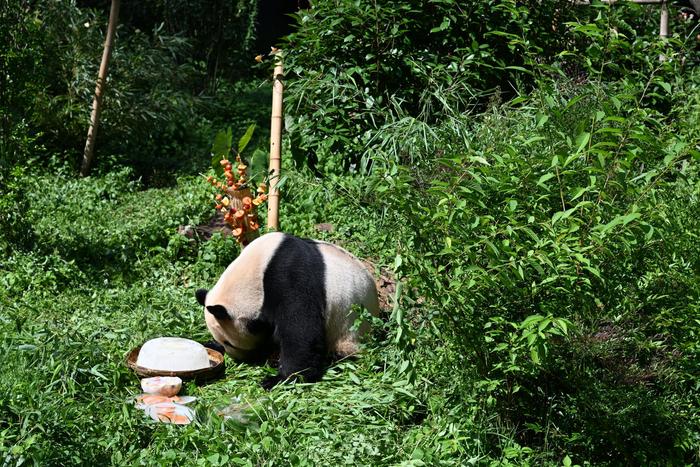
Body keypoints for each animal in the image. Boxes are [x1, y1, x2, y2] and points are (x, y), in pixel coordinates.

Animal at [194, 232, 380, 390]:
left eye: (230, 343)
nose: (237, 358)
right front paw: (211, 344)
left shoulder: (291, 277)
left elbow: (300, 330)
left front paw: (279, 379)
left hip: (347, 327)